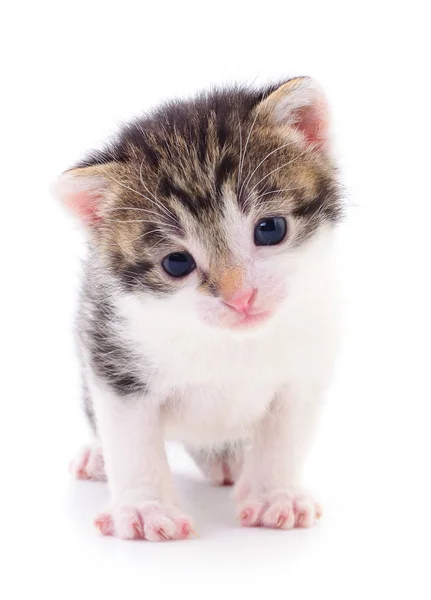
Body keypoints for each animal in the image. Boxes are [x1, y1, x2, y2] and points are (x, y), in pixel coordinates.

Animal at [55, 77, 342, 540]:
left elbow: (285, 432)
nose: (240, 297)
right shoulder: (112, 349)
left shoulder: (307, 360)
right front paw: (144, 508)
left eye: (271, 228)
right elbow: (129, 435)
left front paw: (275, 495)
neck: (228, 341)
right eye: (177, 263)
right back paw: (98, 458)